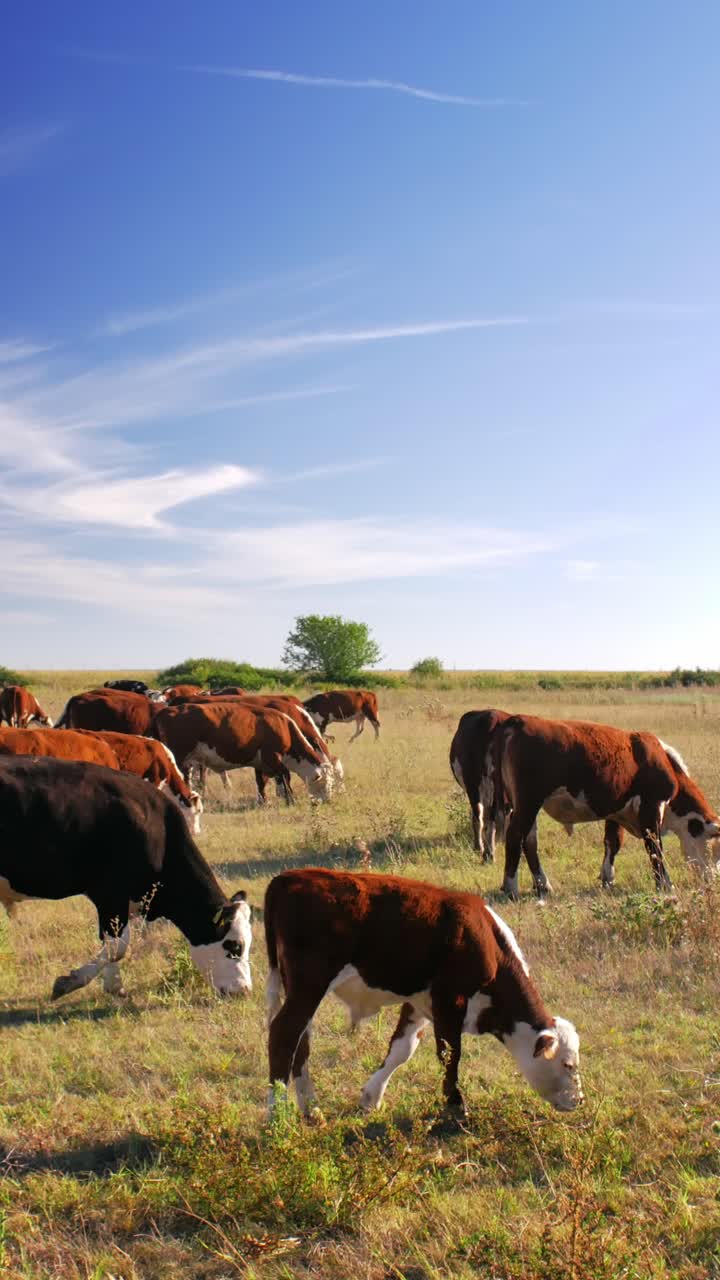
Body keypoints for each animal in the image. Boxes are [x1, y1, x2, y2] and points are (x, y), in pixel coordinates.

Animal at [0, 756, 252, 999]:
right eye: (235, 946)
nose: (244, 991)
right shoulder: (109, 895)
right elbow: (117, 947)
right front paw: (70, 983)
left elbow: (114, 946)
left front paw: (114, 986)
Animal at [265, 868, 582, 1118]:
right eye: (567, 1064)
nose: (579, 1100)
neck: (486, 942)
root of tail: (287, 878)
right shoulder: (450, 1000)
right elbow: (450, 1054)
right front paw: (455, 1105)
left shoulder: (421, 1003)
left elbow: (401, 1049)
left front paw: (371, 1096)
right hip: (309, 987)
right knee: (283, 1035)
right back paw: (276, 1117)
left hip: (299, 990)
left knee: (301, 1042)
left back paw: (311, 1110)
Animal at [487, 715, 720, 897]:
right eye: (716, 849)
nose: (714, 882)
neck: (662, 761)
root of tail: (517, 720)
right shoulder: (651, 807)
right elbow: (654, 847)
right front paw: (665, 884)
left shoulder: (617, 811)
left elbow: (612, 843)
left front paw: (608, 878)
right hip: (528, 803)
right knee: (515, 837)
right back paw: (511, 887)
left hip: (525, 806)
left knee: (529, 841)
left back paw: (543, 885)